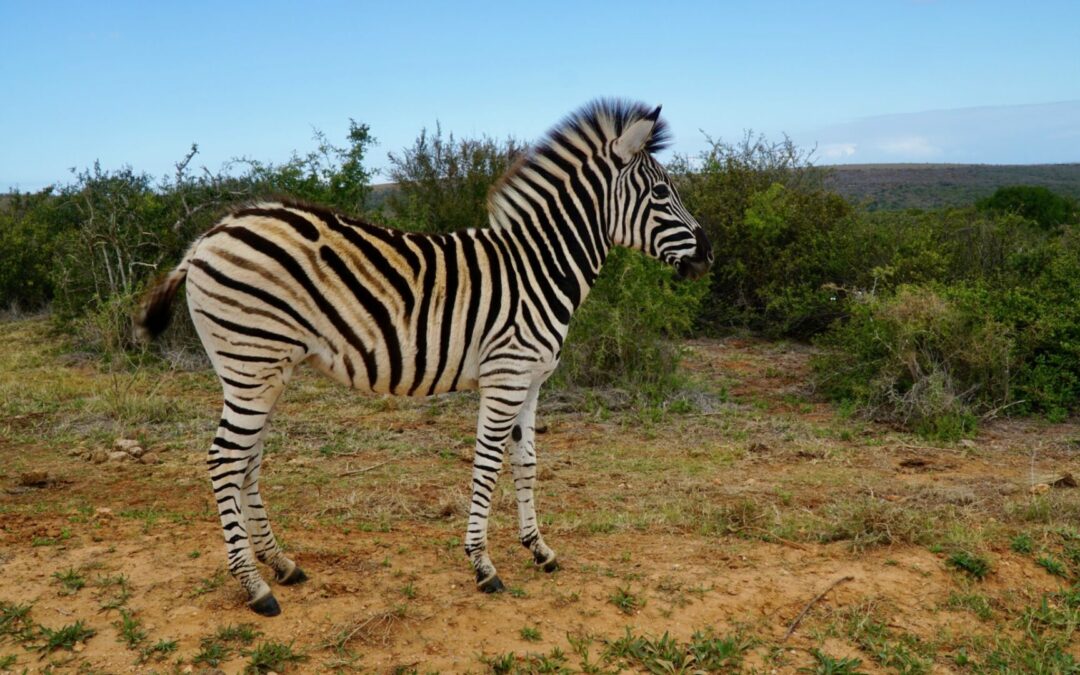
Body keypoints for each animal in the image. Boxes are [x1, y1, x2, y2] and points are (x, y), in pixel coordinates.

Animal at [135, 99, 713, 616]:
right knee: (224, 460)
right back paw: (255, 587)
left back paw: (281, 564)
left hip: (259, 370)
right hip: (251, 362)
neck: (538, 267)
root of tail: (207, 236)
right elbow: (487, 465)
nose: (709, 255)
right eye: (661, 192)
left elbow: (526, 464)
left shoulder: (531, 380)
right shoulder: (505, 375)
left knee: (246, 461)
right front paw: (482, 565)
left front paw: (540, 549)